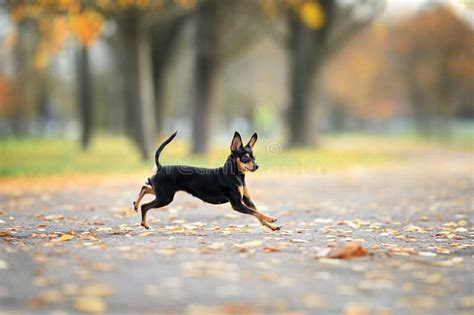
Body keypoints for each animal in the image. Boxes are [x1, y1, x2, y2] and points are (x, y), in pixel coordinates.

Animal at [132, 131, 282, 232]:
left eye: (254, 157)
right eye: (245, 157)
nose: (256, 166)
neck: (235, 175)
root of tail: (160, 167)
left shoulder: (247, 200)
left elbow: (257, 213)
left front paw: (271, 226)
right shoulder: (237, 204)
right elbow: (256, 213)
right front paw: (270, 219)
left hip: (162, 194)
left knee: (145, 188)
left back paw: (135, 205)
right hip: (165, 197)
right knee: (145, 206)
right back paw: (144, 222)